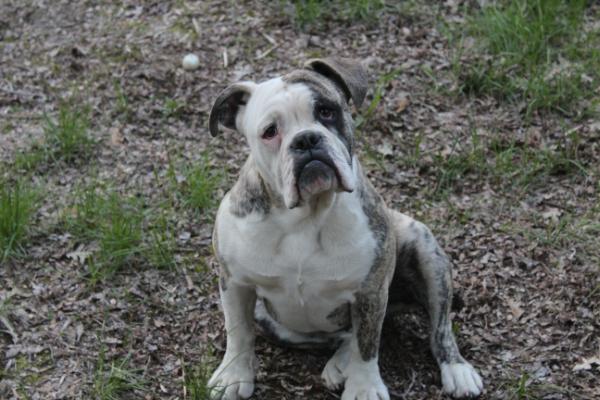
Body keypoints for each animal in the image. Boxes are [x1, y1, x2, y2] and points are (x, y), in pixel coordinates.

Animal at [206, 57, 482, 398]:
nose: (306, 139)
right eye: (270, 132)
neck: (306, 215)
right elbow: (238, 332)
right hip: (273, 321)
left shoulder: (370, 292)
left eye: (327, 111)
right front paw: (233, 376)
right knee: (342, 336)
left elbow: (368, 344)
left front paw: (364, 387)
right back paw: (339, 364)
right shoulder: (235, 283)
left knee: (438, 327)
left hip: (425, 250)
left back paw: (456, 370)